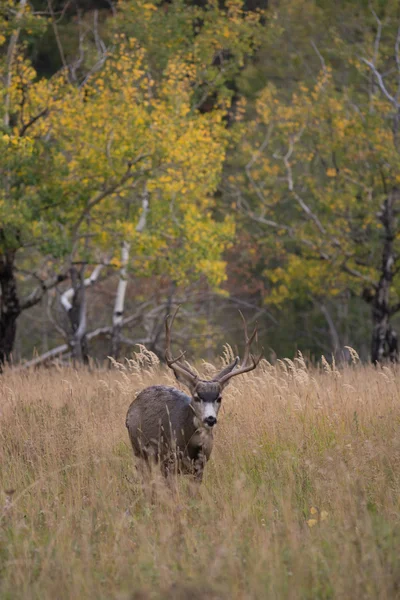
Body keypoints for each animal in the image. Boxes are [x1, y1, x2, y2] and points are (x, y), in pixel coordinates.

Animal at [126, 310, 262, 482]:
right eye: (197, 397)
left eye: (219, 398)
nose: (210, 419)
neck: (192, 446)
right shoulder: (169, 461)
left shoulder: (200, 467)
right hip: (139, 450)